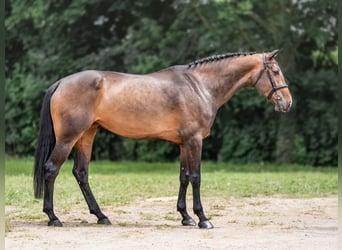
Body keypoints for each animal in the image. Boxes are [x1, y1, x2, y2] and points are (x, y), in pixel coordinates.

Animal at [34, 49, 292, 229]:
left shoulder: (184, 143)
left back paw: (101, 216)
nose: (287, 103)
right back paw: (53, 217)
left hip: (87, 135)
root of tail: (61, 83)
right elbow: (196, 177)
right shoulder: (194, 141)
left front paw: (185, 217)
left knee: (81, 173)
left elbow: (183, 177)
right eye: (276, 71)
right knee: (51, 169)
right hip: (68, 138)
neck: (200, 86)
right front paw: (202, 218)